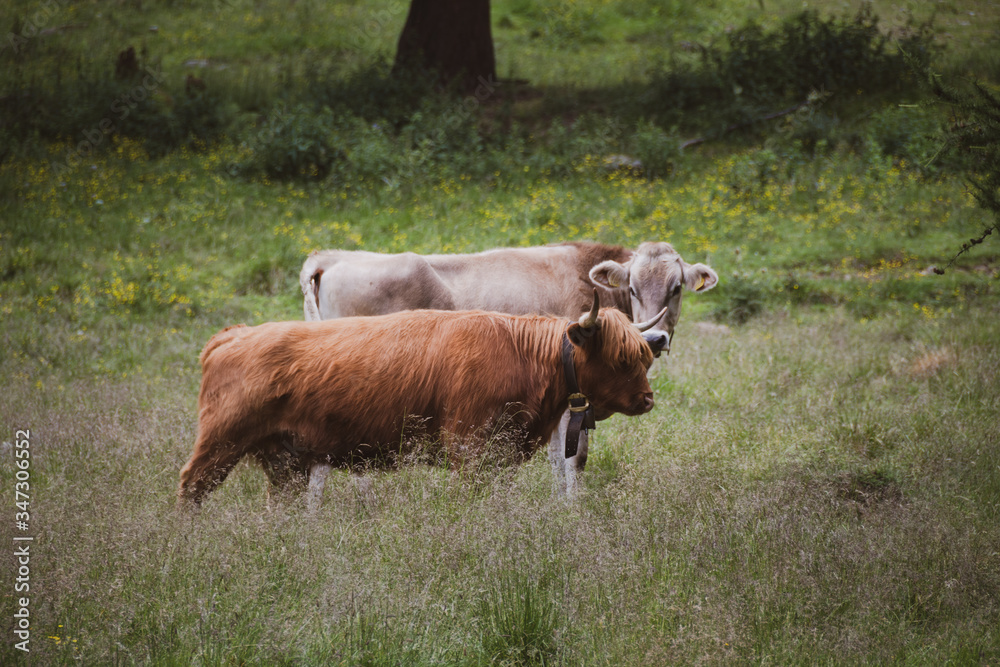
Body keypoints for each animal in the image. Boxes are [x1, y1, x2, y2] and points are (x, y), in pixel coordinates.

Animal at [177, 293, 668, 508]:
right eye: (622, 358)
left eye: (645, 356)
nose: (647, 399)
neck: (525, 357)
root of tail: (232, 335)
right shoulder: (470, 450)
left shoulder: (503, 454)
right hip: (221, 443)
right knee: (192, 486)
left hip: (286, 460)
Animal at [299, 241, 718, 496]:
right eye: (631, 287)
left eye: (676, 288)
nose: (657, 339)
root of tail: (329, 257)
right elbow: (574, 458)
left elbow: (557, 459)